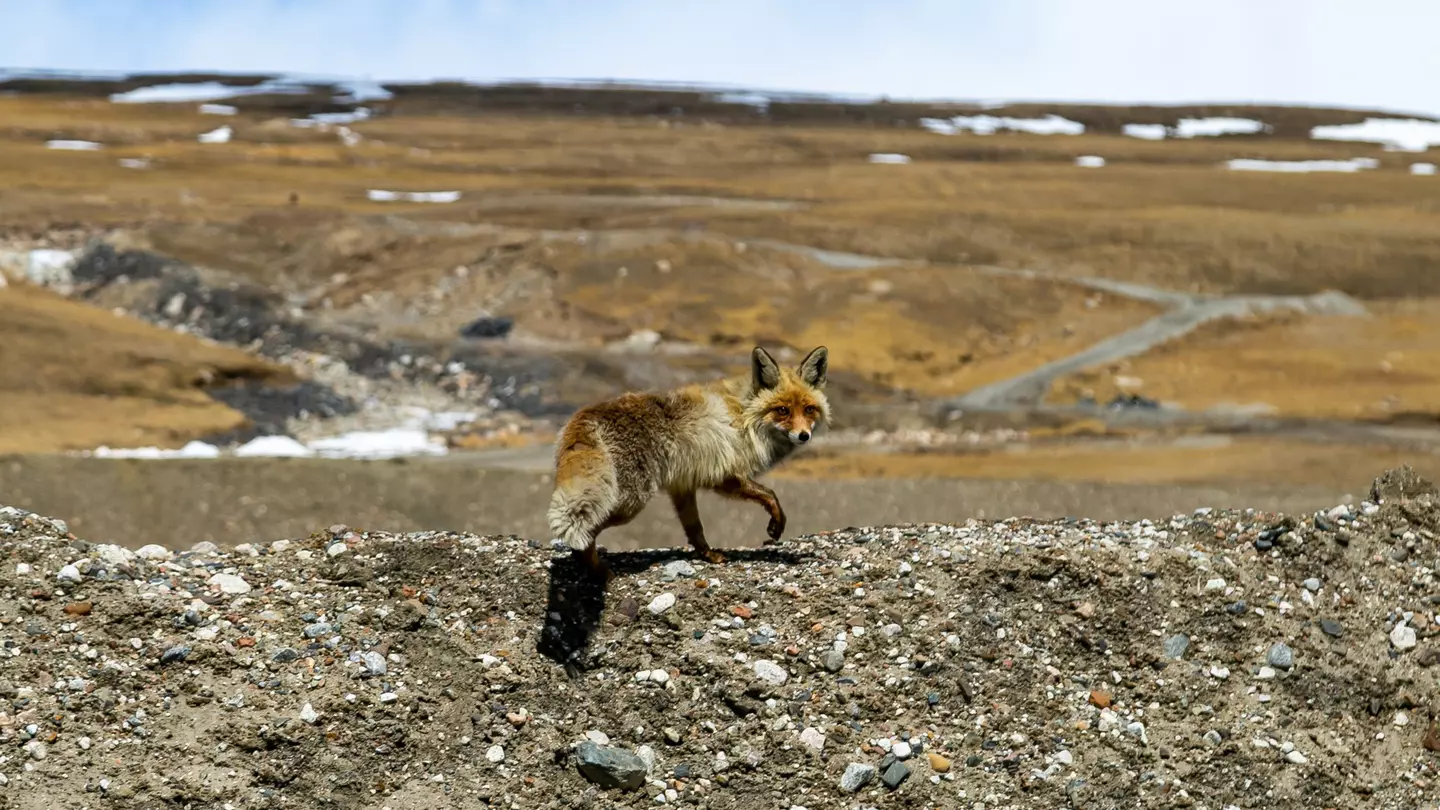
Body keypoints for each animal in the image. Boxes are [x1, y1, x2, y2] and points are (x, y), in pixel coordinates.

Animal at [547, 345, 831, 581]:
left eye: (809, 410)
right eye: (782, 410)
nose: (803, 435)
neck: (745, 418)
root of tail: (584, 415)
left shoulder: (682, 486)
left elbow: (695, 528)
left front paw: (707, 555)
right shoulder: (724, 474)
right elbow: (770, 495)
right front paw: (776, 525)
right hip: (627, 503)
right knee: (584, 535)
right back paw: (599, 573)